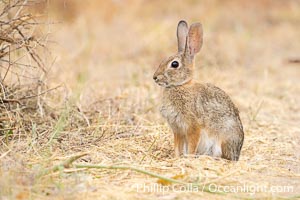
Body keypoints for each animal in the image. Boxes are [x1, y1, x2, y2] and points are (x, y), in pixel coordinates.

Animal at [152, 20, 244, 161]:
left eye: (174, 64)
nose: (155, 77)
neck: (180, 85)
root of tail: (236, 153)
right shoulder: (177, 129)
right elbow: (177, 146)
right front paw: (176, 158)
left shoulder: (193, 127)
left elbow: (191, 145)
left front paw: (188, 158)